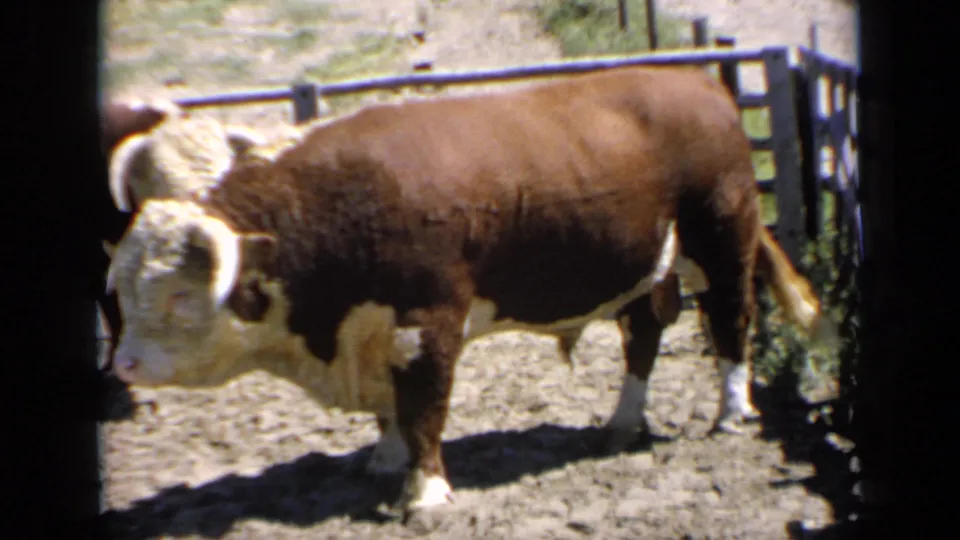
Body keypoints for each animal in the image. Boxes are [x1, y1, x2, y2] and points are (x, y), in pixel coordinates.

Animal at [104, 65, 837, 517]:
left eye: (178, 298)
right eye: (126, 292)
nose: (125, 364)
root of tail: (696, 81)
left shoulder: (426, 324)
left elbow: (425, 409)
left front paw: (424, 492)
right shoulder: (374, 334)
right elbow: (391, 412)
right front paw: (384, 460)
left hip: (721, 239)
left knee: (732, 321)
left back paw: (731, 410)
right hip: (644, 265)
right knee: (644, 335)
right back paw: (622, 422)